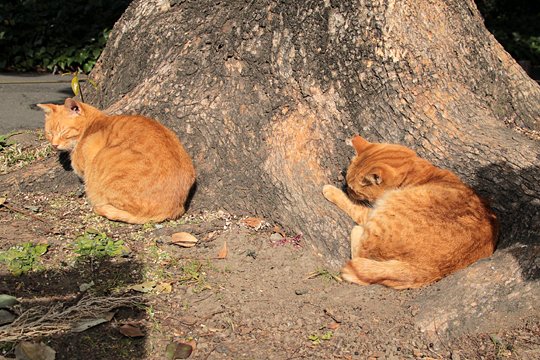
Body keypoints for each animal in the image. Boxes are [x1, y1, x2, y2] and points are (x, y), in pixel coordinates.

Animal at [320, 135, 498, 290]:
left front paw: (334, 192)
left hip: (385, 211)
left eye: (353, 189)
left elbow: (354, 207)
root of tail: (431, 269)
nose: (347, 190)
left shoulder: (373, 210)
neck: (414, 172)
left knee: (361, 251)